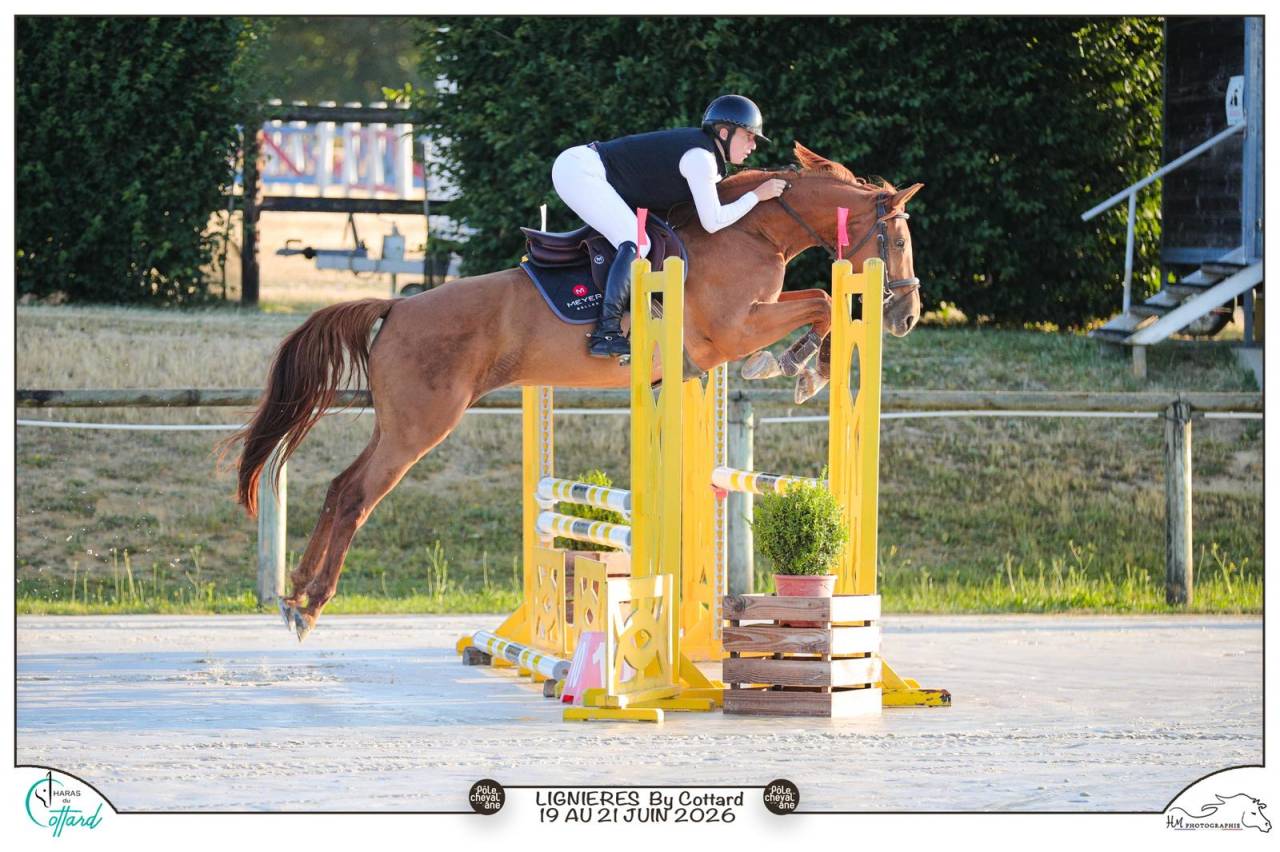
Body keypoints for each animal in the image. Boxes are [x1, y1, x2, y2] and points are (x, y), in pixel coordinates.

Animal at [227, 142, 923, 640]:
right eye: (898, 239)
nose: (906, 316)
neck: (750, 231)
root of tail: (396, 308)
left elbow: (820, 299)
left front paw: (800, 366)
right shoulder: (733, 329)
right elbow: (824, 300)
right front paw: (800, 367)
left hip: (396, 423)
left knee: (339, 486)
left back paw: (294, 597)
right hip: (420, 426)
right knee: (355, 495)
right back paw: (309, 605)